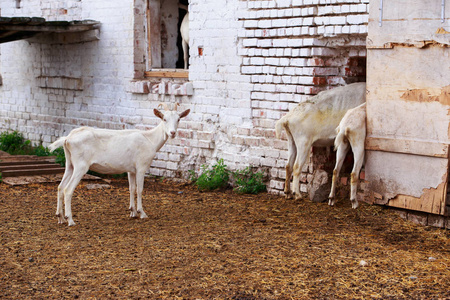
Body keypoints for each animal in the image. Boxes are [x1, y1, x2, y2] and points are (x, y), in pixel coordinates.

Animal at [49, 103, 190, 225]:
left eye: (178, 119)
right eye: (164, 119)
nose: (172, 133)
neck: (150, 139)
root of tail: (67, 139)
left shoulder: (131, 170)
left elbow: (131, 188)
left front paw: (132, 212)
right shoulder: (141, 167)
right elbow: (140, 189)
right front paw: (142, 213)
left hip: (70, 164)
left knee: (60, 187)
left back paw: (60, 218)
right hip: (81, 166)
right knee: (68, 189)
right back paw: (70, 220)